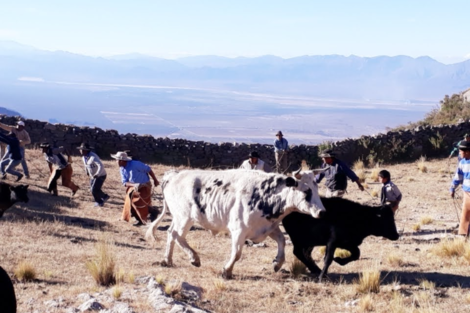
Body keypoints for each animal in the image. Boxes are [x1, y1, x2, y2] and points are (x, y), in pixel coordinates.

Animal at [145, 168, 324, 278]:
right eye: (306, 191)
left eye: (316, 189)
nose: (322, 212)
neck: (265, 195)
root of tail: (173, 176)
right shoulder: (239, 230)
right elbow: (237, 253)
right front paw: (227, 271)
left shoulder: (268, 228)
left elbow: (282, 241)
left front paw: (277, 264)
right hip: (184, 218)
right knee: (177, 235)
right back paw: (194, 258)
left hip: (179, 218)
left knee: (171, 234)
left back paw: (167, 260)